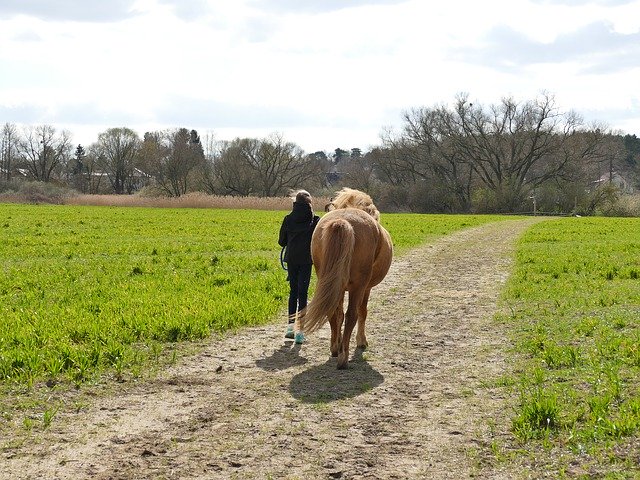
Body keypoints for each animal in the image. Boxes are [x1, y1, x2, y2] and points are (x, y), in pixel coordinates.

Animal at [298, 188, 392, 368]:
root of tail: (342, 221)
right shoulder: (365, 288)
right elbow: (362, 312)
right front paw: (361, 341)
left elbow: (338, 314)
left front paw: (338, 343)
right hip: (358, 287)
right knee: (352, 315)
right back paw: (343, 357)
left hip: (331, 283)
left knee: (333, 312)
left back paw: (336, 349)